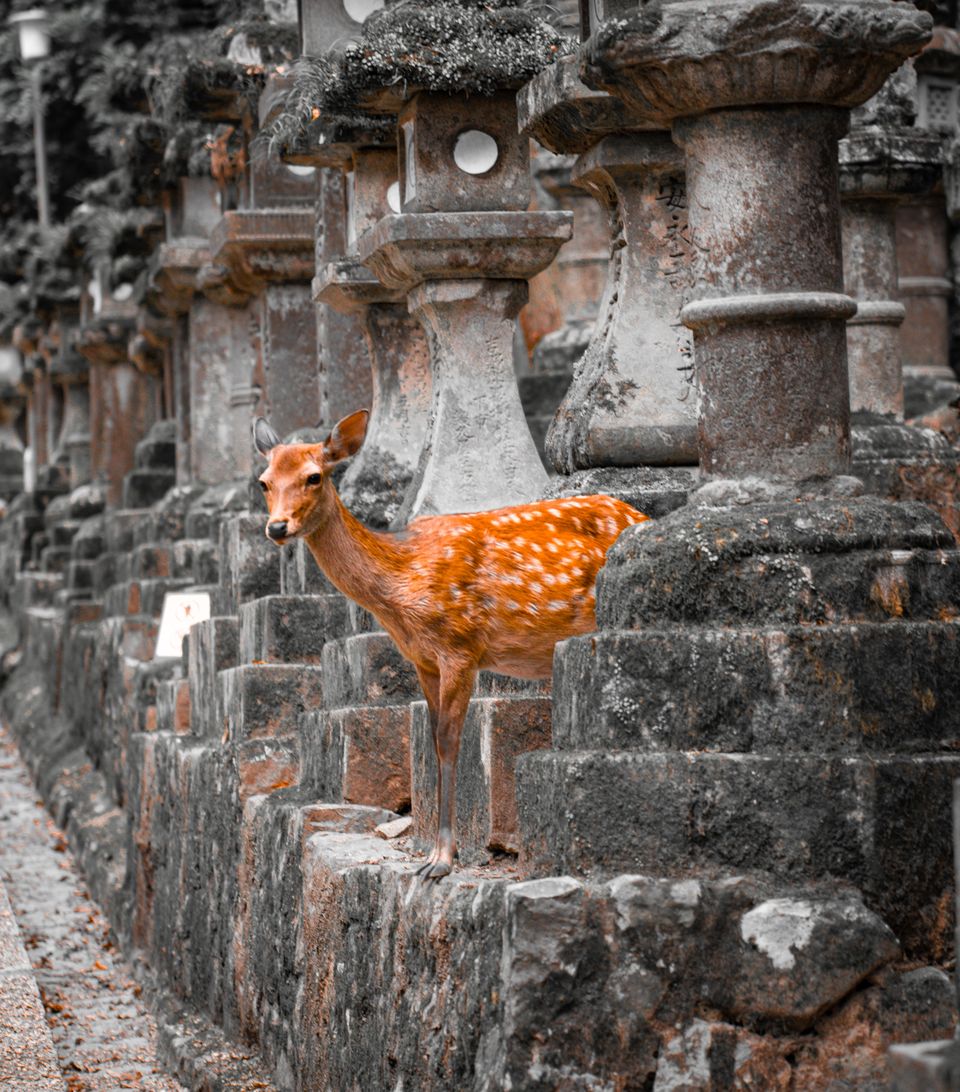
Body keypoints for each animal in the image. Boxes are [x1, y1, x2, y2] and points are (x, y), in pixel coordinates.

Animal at [253, 409, 650, 880]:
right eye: (264, 481)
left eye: (314, 476)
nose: (278, 527)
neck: (401, 585)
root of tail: (640, 514)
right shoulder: (422, 659)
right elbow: (429, 737)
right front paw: (434, 854)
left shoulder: (461, 645)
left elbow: (448, 740)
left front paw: (441, 860)